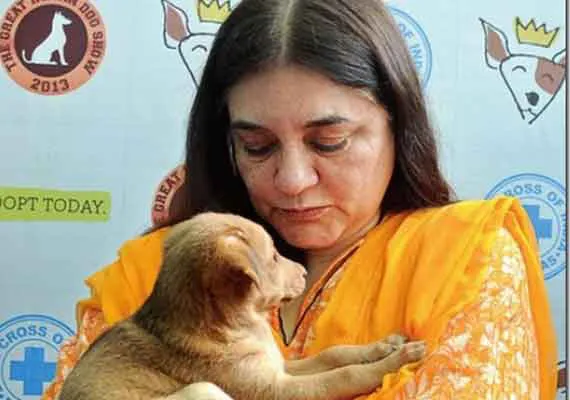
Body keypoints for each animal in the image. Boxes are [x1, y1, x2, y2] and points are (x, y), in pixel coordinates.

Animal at [57, 211, 424, 398]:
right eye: (274, 256)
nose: (305, 272)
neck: (235, 326)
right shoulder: (276, 390)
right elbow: (345, 376)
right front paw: (394, 362)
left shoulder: (276, 368)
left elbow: (335, 355)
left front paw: (385, 347)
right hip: (203, 390)